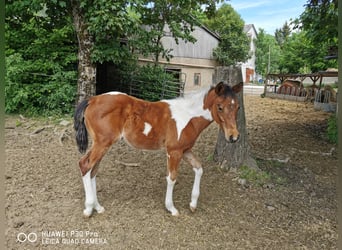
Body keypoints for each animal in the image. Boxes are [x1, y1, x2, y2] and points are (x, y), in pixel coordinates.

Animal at [74, 81, 243, 217]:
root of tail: (92, 99)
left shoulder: (185, 150)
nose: (233, 137)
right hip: (102, 143)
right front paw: (171, 208)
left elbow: (199, 168)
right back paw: (88, 209)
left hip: (102, 145)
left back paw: (98, 207)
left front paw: (193, 204)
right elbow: (172, 177)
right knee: (85, 165)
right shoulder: (174, 151)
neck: (188, 116)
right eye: (220, 107)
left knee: (93, 171)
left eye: (237, 107)